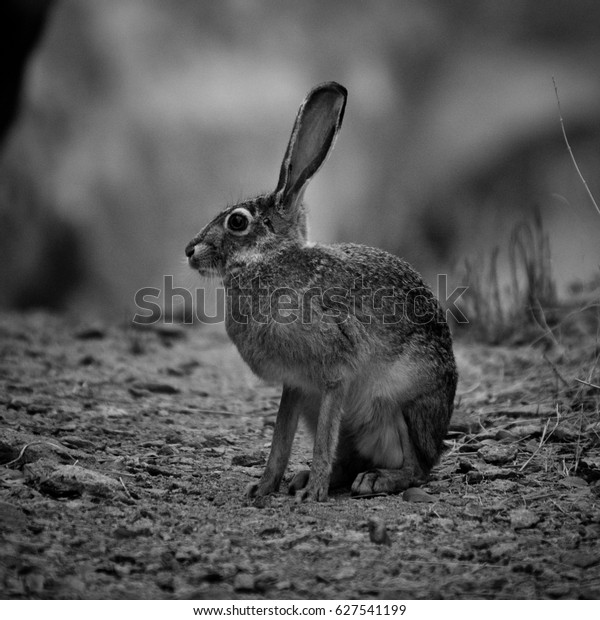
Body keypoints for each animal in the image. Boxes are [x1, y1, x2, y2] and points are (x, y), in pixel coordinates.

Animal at [185, 82, 458, 502]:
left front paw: (313, 493)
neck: (271, 260)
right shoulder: (297, 385)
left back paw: (375, 480)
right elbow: (280, 440)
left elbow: (322, 442)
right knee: (349, 459)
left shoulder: (333, 373)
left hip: (396, 402)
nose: (190, 250)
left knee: (414, 468)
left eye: (237, 222)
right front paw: (263, 487)